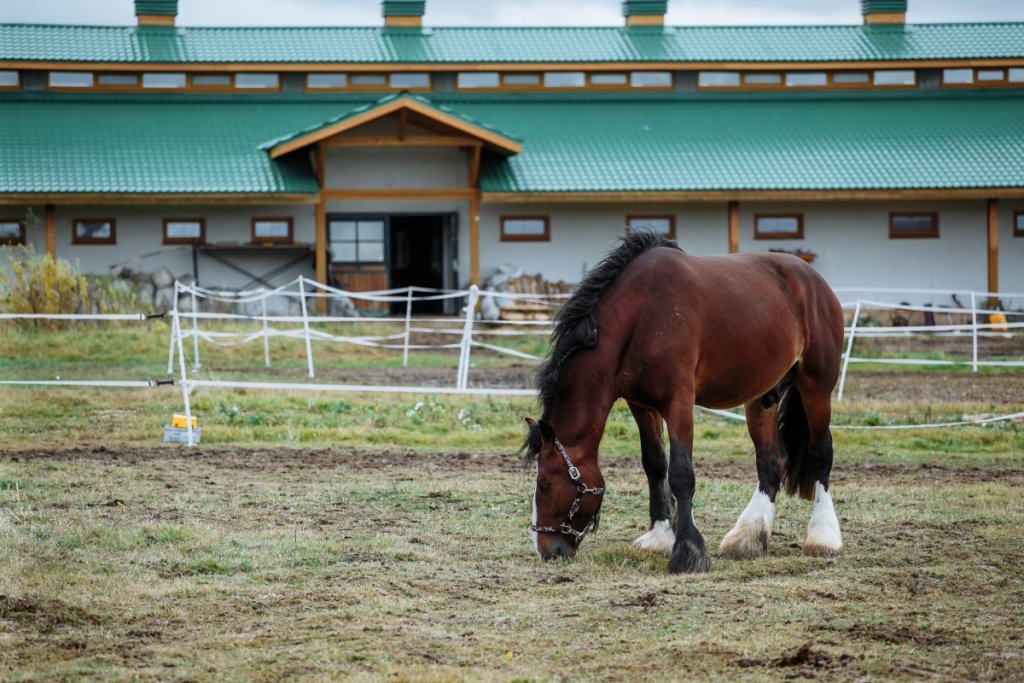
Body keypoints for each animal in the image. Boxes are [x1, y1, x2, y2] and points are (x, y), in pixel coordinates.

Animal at [523, 230, 845, 573]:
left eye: (545, 485)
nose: (546, 549)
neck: (641, 316)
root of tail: (813, 279)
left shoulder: (678, 402)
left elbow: (680, 473)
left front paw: (689, 551)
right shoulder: (641, 404)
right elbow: (654, 464)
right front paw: (658, 537)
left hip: (816, 385)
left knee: (821, 453)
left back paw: (823, 536)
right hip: (762, 397)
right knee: (771, 461)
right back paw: (748, 538)